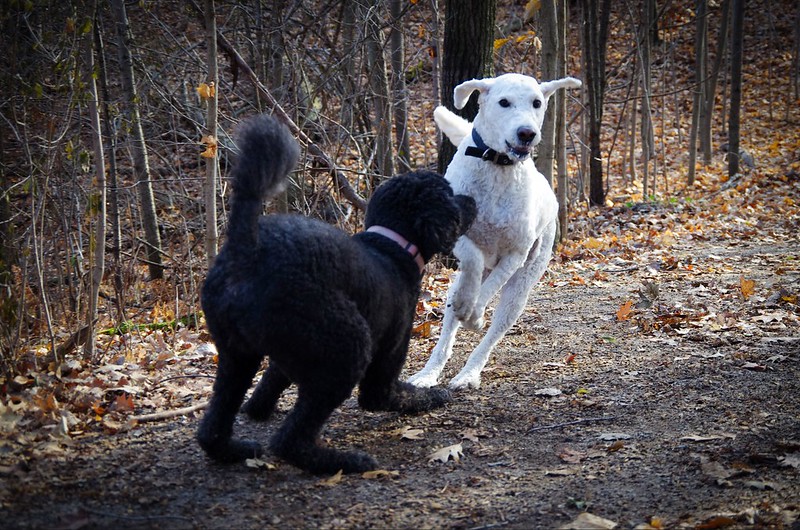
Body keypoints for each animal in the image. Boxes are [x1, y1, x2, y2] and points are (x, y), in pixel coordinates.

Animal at [198, 113, 476, 472]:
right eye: (451, 196)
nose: (472, 200)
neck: (391, 245)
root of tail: (246, 251)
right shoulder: (386, 361)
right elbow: (394, 395)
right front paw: (432, 396)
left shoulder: (290, 355)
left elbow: (269, 384)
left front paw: (260, 408)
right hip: (348, 346)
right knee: (289, 441)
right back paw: (341, 460)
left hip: (237, 356)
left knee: (212, 427)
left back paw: (234, 450)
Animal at [410, 72, 580, 388]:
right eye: (504, 102)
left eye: (537, 103)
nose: (527, 133)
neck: (498, 166)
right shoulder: (453, 233)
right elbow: (473, 259)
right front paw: (467, 303)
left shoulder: (516, 254)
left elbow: (488, 289)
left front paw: (475, 316)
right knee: (449, 327)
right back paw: (429, 373)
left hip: (519, 291)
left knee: (492, 333)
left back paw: (468, 373)